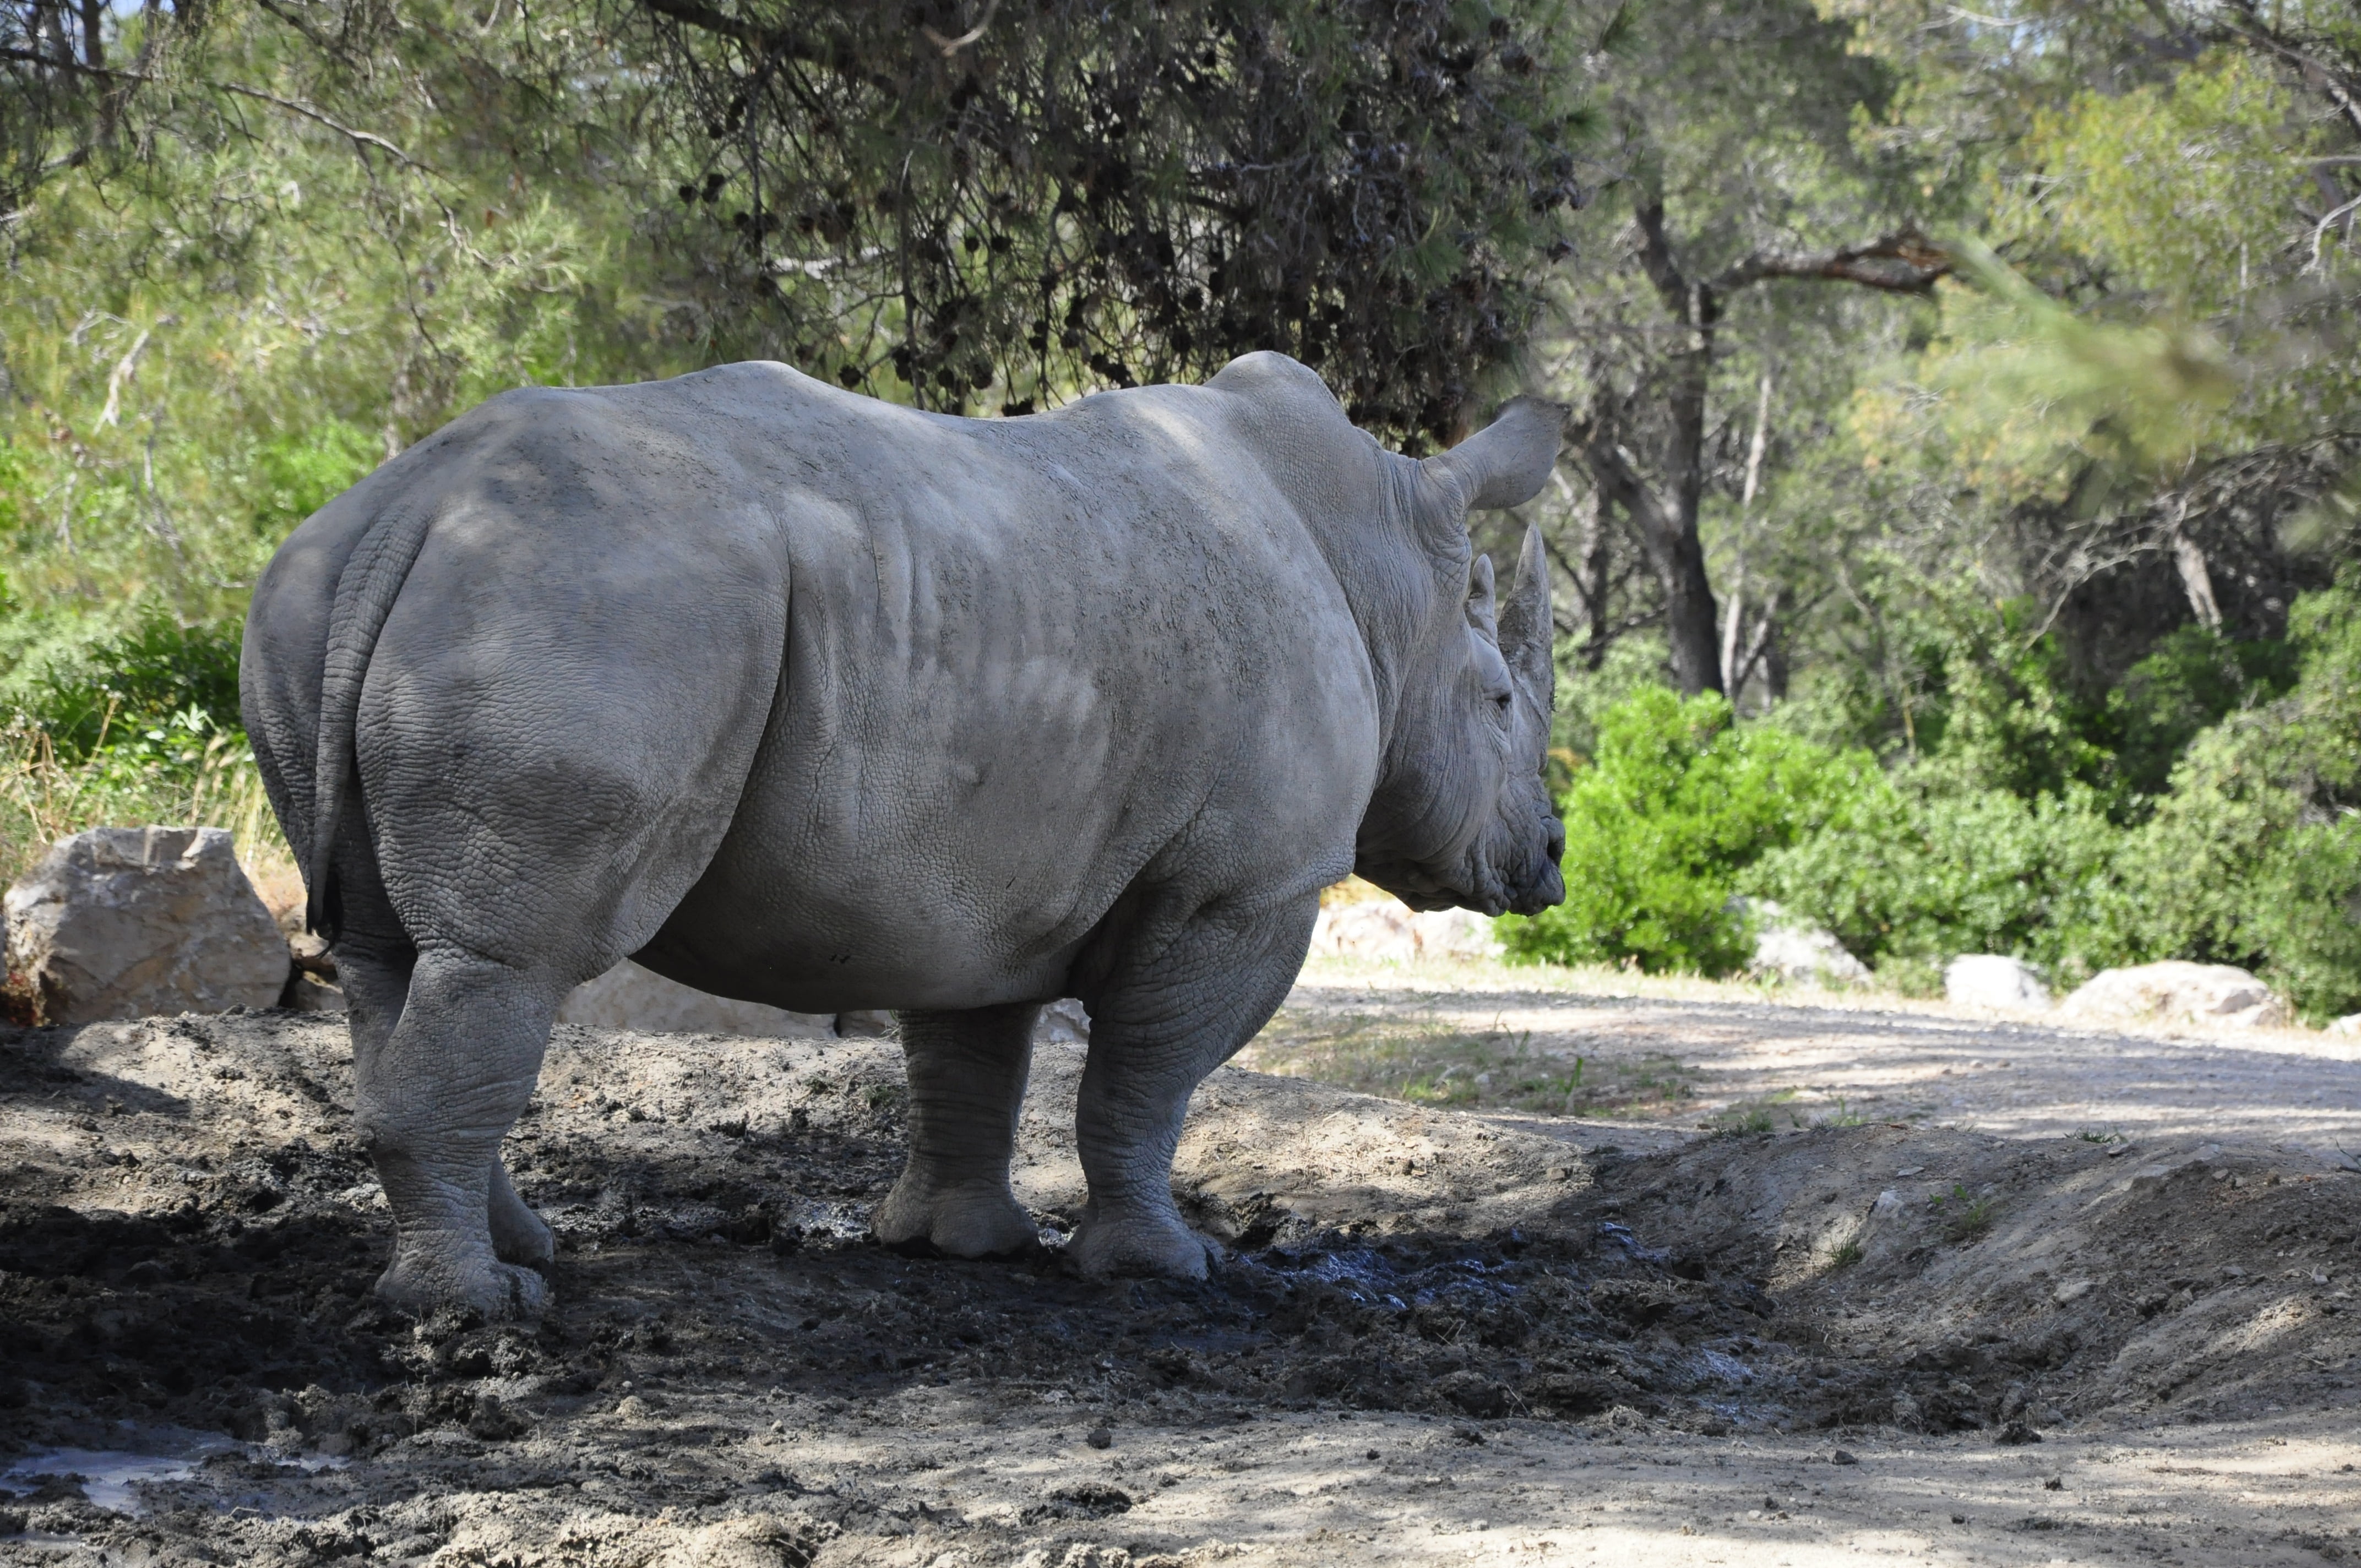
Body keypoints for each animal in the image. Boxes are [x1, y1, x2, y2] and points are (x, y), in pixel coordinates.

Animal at [241, 350, 1566, 1318]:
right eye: (1503, 701)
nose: (1549, 858)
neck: (1385, 580)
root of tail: (415, 502)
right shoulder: (1243, 889)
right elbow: (1146, 1078)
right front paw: (1161, 1269)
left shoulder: (986, 875)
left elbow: (968, 1058)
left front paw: (955, 1245)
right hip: (593, 606)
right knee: (509, 958)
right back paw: (472, 1306)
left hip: (328, 595)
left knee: (391, 958)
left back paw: (523, 1254)